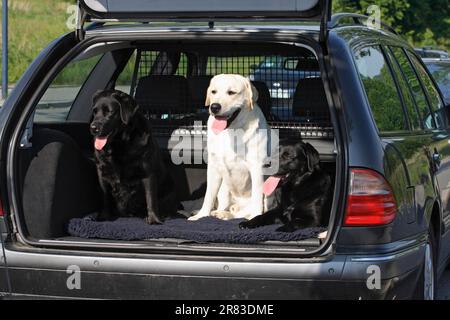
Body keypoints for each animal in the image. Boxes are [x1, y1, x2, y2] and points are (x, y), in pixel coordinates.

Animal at [89, 90, 181, 224]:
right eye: (95, 112)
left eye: (109, 112)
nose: (93, 128)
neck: (120, 144)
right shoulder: (102, 172)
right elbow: (105, 197)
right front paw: (104, 217)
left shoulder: (148, 173)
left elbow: (150, 198)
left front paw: (154, 219)